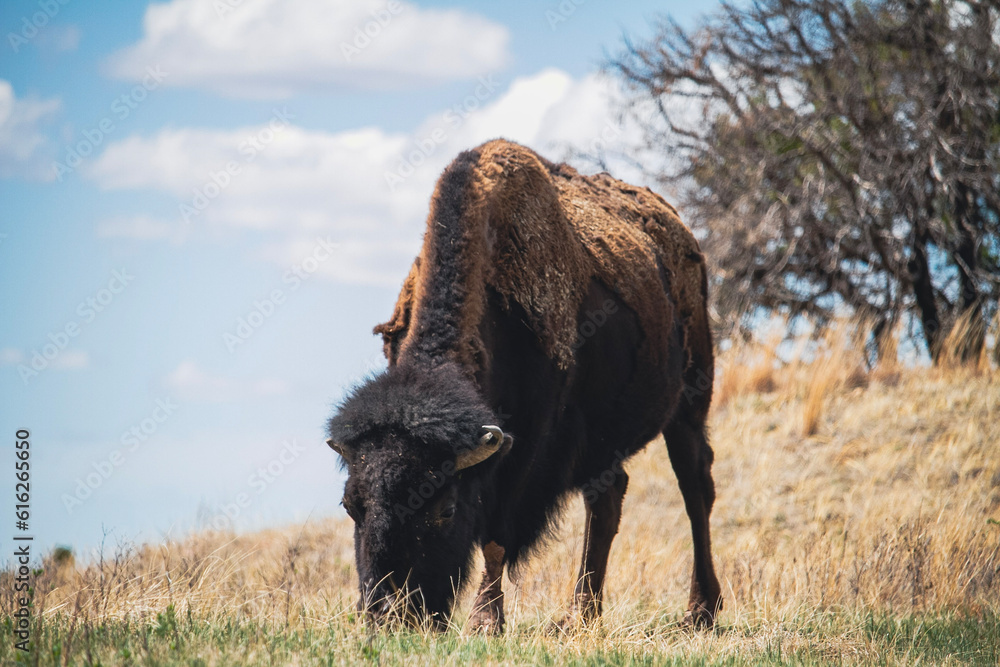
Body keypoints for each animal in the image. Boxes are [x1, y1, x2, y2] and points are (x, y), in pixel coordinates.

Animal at [330, 140, 728, 632]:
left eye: (445, 509)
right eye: (351, 505)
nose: (391, 615)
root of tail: (682, 235)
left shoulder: (522, 451)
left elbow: (495, 537)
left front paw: (485, 621)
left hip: (691, 401)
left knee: (695, 488)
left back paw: (700, 609)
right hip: (607, 439)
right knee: (607, 500)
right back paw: (582, 613)